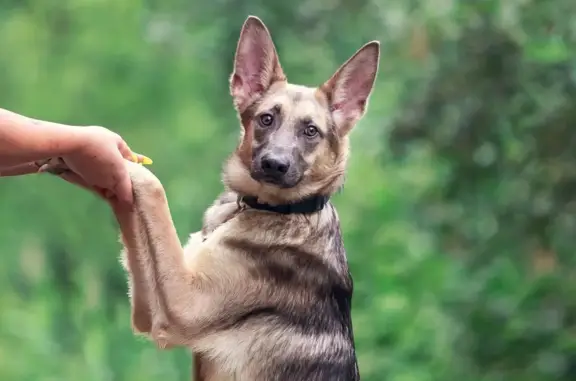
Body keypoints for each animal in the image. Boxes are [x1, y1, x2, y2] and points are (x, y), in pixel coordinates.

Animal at [41, 15, 382, 380]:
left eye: (311, 131)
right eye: (266, 119)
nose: (274, 165)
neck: (275, 209)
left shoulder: (184, 304)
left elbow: (153, 188)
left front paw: (109, 159)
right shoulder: (152, 310)